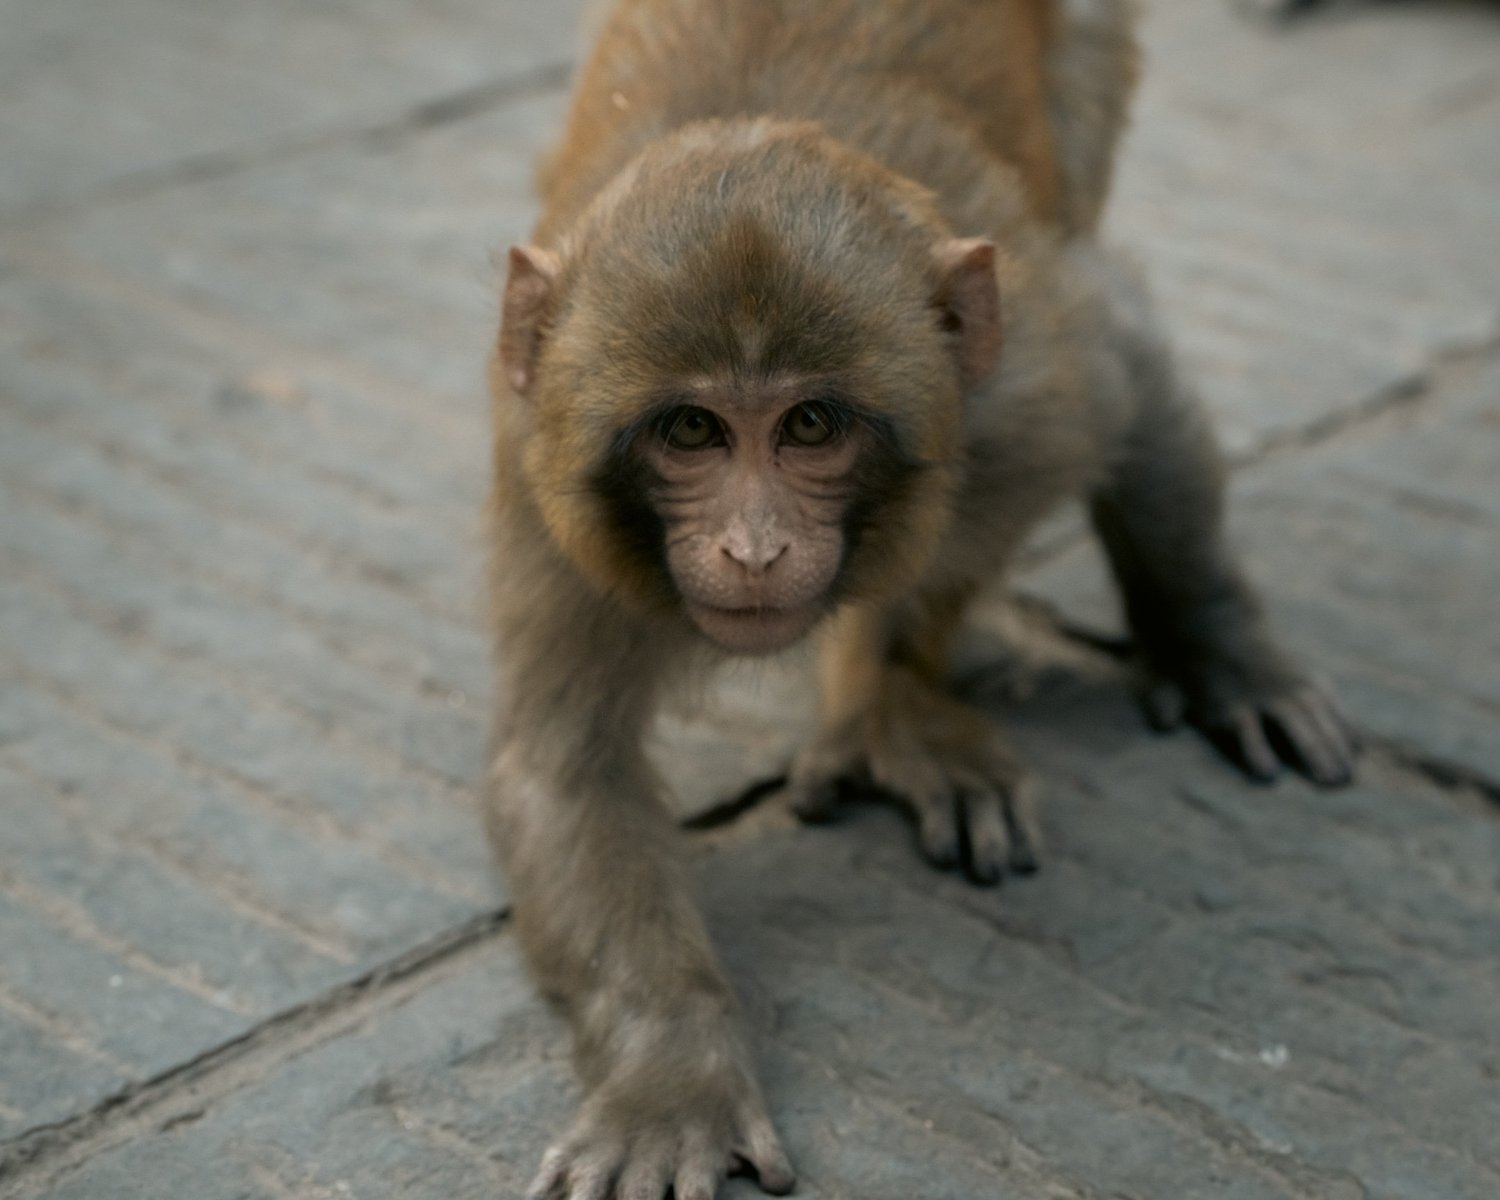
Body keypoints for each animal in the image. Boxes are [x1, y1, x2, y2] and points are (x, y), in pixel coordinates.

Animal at [484, 2, 1357, 1197]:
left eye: (809, 425)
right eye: (691, 430)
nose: (755, 548)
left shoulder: (1027, 376)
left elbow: (1127, 365)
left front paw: (1216, 646)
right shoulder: (549, 487)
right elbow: (569, 775)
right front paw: (670, 1074)